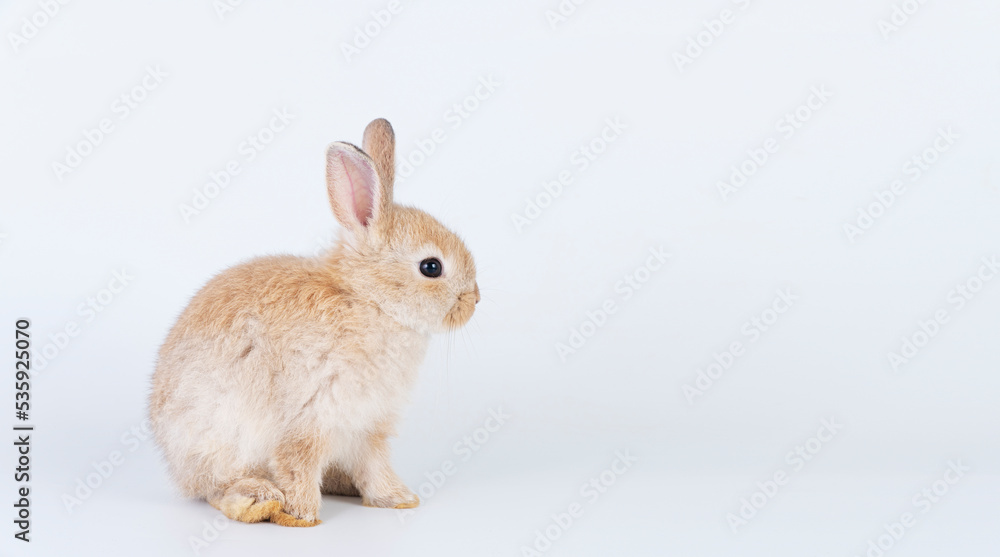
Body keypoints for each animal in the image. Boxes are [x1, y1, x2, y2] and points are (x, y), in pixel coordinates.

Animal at [146, 117, 482, 524]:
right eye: (431, 267)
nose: (475, 300)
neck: (367, 299)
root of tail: (173, 460)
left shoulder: (369, 427)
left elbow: (375, 466)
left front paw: (398, 499)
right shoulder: (310, 415)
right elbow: (299, 464)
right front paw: (302, 516)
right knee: (214, 488)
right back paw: (258, 499)